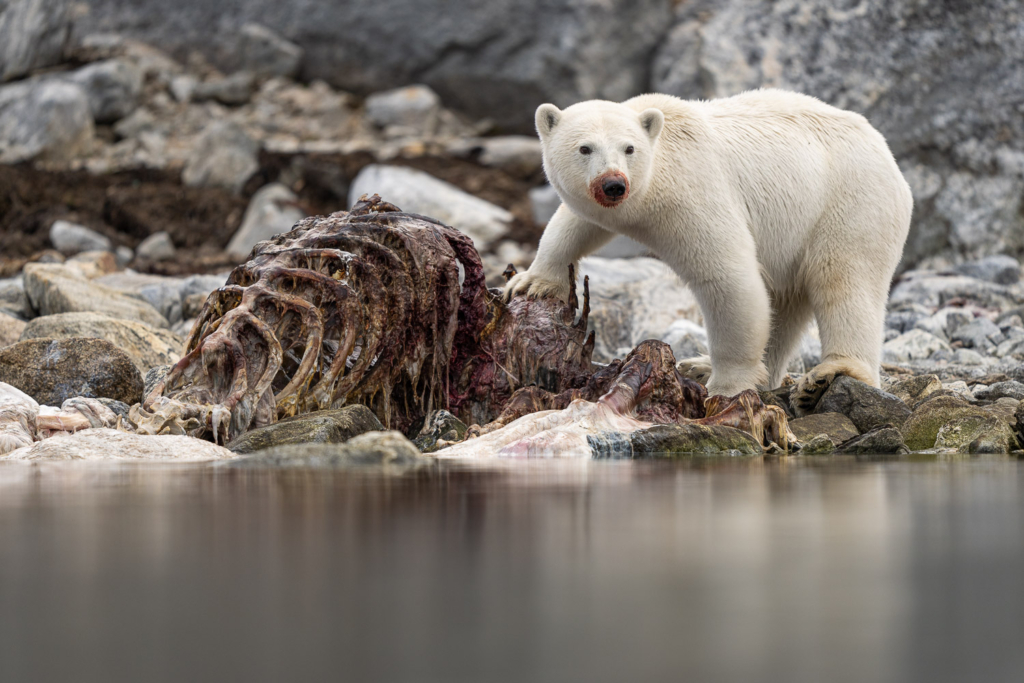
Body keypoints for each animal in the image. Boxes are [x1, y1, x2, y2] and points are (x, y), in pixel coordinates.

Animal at [507, 89, 917, 413]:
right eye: (584, 147)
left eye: (629, 148)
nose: (613, 184)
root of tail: (885, 151)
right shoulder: (614, 204)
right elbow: (575, 224)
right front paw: (533, 283)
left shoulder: (694, 190)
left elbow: (727, 278)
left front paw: (726, 387)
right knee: (784, 301)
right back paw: (706, 365)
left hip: (851, 201)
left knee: (844, 281)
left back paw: (826, 379)